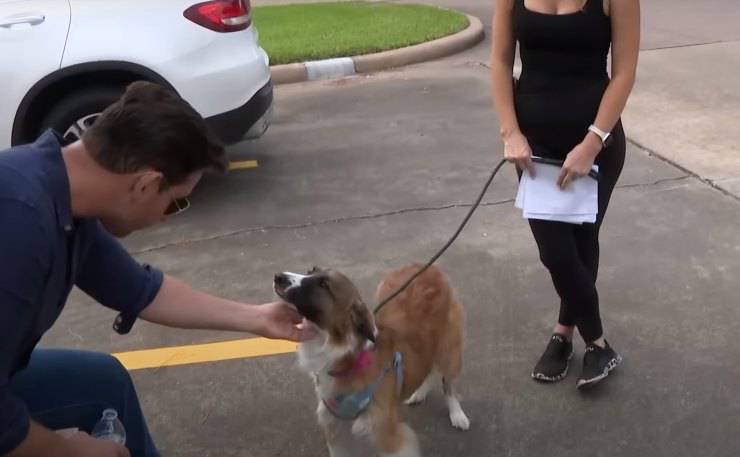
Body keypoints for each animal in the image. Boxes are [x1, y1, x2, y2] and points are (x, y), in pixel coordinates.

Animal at [274, 264, 469, 457]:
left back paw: (457, 414)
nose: (278, 277)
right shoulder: (335, 429)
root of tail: (425, 267)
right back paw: (419, 393)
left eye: (324, 285)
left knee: (448, 384)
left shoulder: (387, 435)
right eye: (310, 271)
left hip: (449, 351)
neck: (345, 358)